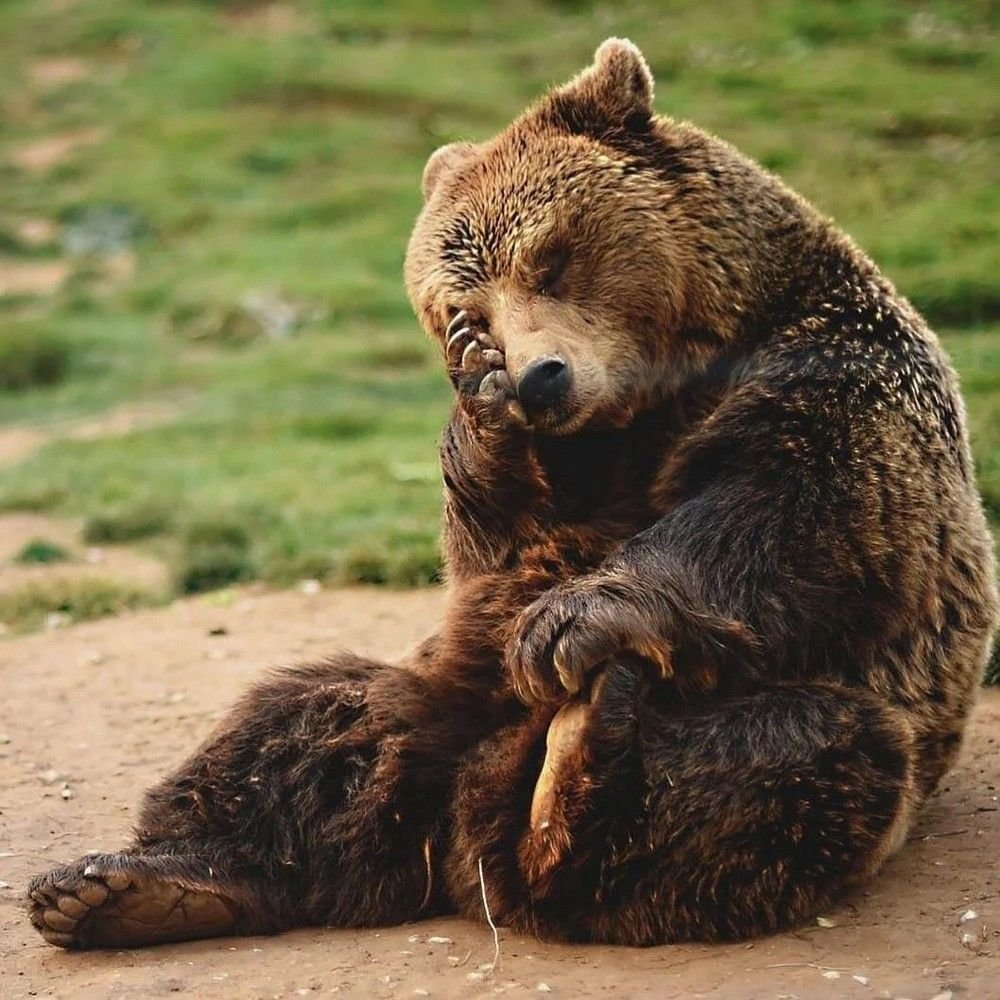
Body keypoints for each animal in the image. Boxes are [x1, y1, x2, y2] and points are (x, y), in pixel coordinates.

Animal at [27, 38, 998, 949]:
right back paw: (132, 886)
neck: (656, 392)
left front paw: (571, 622)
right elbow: (502, 548)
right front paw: (484, 412)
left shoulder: (838, 369)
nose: (538, 378)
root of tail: (469, 832)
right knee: (312, 722)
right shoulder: (573, 480)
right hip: (443, 695)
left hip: (842, 713)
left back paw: (577, 769)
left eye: (551, 258)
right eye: (465, 310)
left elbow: (796, 512)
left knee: (795, 753)